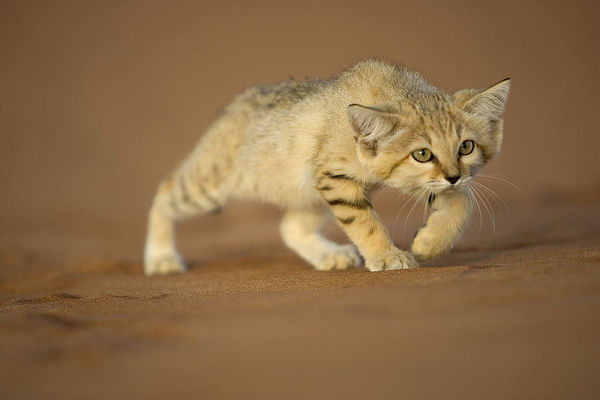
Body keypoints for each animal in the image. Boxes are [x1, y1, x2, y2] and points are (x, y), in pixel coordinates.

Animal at [143, 59, 508, 276]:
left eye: (465, 147)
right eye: (422, 154)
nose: (453, 175)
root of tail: (231, 107)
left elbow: (462, 202)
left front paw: (429, 242)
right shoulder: (337, 179)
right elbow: (365, 223)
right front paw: (388, 256)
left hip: (308, 192)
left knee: (289, 226)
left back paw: (328, 255)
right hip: (214, 184)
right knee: (164, 191)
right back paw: (161, 257)